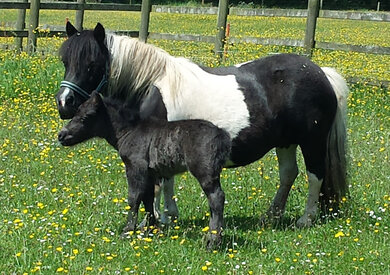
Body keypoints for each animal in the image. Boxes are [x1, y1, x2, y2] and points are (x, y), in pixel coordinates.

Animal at [54, 21, 348, 229]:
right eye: (65, 61)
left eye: (92, 64)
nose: (64, 103)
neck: (152, 87)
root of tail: (321, 72)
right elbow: (167, 181)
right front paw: (168, 216)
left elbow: (159, 184)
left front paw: (159, 218)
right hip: (285, 141)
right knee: (288, 174)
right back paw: (271, 216)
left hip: (311, 141)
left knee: (314, 175)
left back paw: (306, 219)